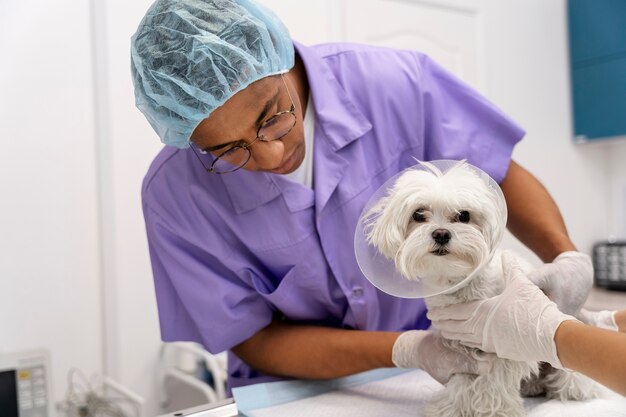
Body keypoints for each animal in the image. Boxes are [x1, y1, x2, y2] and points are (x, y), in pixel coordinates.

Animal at [364, 160, 596, 416]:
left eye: (464, 215)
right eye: (419, 214)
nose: (441, 233)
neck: (460, 286)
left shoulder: (505, 343)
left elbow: (494, 380)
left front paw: (493, 410)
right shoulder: (455, 348)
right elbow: (462, 378)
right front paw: (451, 407)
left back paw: (571, 388)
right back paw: (533, 385)